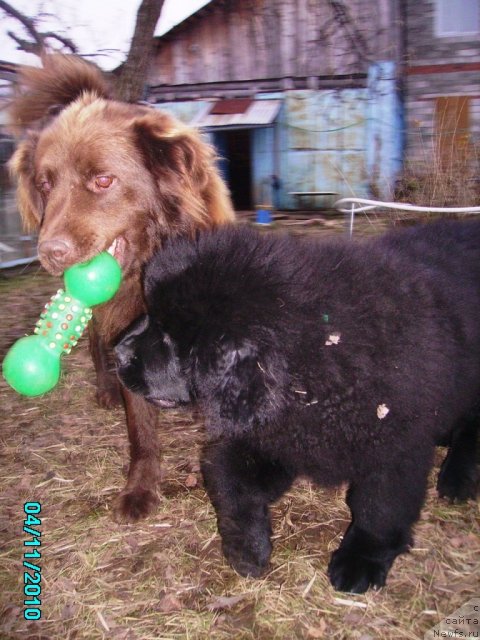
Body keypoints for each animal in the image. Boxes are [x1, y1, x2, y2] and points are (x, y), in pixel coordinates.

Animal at [8, 55, 234, 524]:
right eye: (44, 184)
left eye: (103, 181)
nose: (50, 253)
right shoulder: (128, 339)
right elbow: (141, 432)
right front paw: (140, 490)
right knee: (95, 344)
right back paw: (106, 389)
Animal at [115, 222, 480, 592]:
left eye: (168, 336)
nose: (117, 352)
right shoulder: (272, 436)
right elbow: (234, 485)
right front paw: (248, 548)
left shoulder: (396, 450)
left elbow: (379, 509)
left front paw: (360, 561)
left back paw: (456, 479)